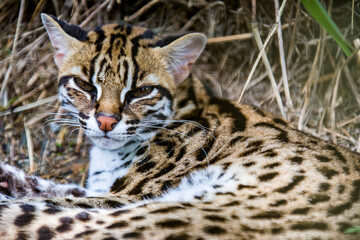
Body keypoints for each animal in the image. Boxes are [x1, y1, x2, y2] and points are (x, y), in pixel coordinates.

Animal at [0, 13, 360, 240]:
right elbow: (56, 187)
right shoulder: (104, 190)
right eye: (85, 85)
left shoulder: (120, 198)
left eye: (141, 91)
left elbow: (53, 196)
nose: (105, 122)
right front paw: (8, 175)